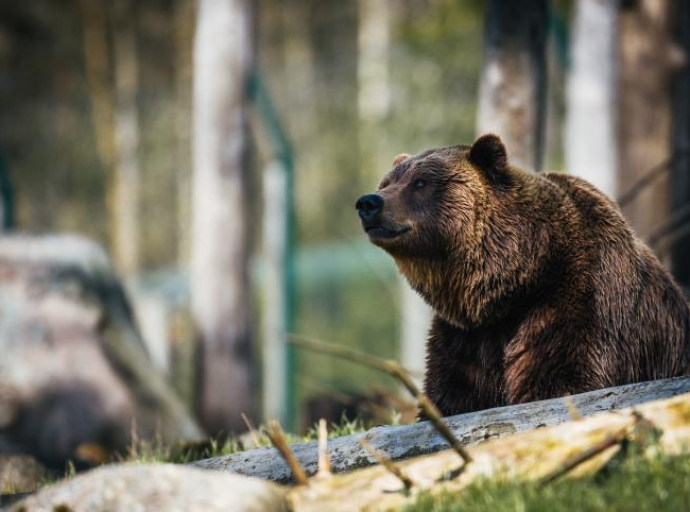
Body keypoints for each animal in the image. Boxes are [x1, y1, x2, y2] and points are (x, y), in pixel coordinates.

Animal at [354, 135, 688, 416]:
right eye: (387, 182)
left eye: (421, 182)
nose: (369, 202)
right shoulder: (466, 337)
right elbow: (452, 394)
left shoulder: (577, 300)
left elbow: (560, 379)